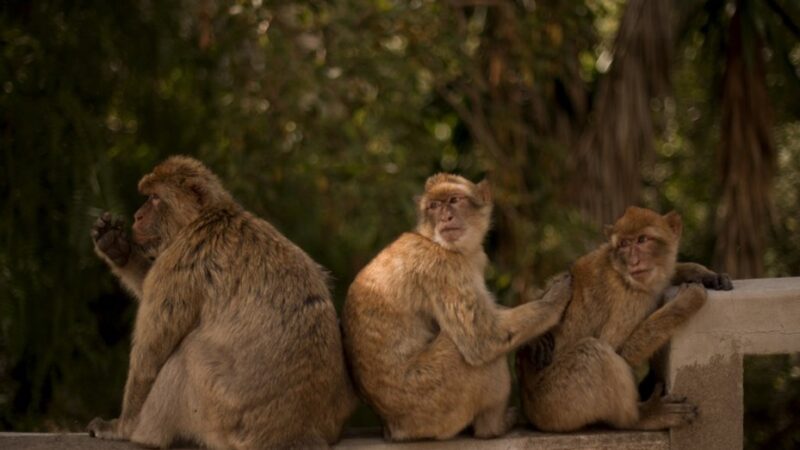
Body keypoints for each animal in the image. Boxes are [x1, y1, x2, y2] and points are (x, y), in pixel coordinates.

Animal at [87, 156, 357, 449]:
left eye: (155, 198)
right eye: (147, 197)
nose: (138, 216)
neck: (208, 217)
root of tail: (298, 432)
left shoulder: (182, 260)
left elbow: (150, 355)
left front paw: (121, 427)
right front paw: (117, 249)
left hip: (225, 418)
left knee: (186, 354)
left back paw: (144, 433)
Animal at [342, 173, 572, 441]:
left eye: (453, 200)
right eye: (434, 206)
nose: (445, 217)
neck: (432, 240)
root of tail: (392, 427)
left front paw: (534, 338)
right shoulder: (442, 267)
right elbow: (482, 339)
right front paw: (555, 298)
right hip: (433, 401)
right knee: (472, 352)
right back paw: (493, 427)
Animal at [517, 206, 733, 432]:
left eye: (642, 239)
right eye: (624, 244)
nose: (634, 262)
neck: (621, 272)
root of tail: (528, 408)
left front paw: (704, 274)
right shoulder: (630, 298)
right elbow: (618, 350)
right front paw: (687, 301)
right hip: (555, 402)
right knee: (594, 352)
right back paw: (643, 417)